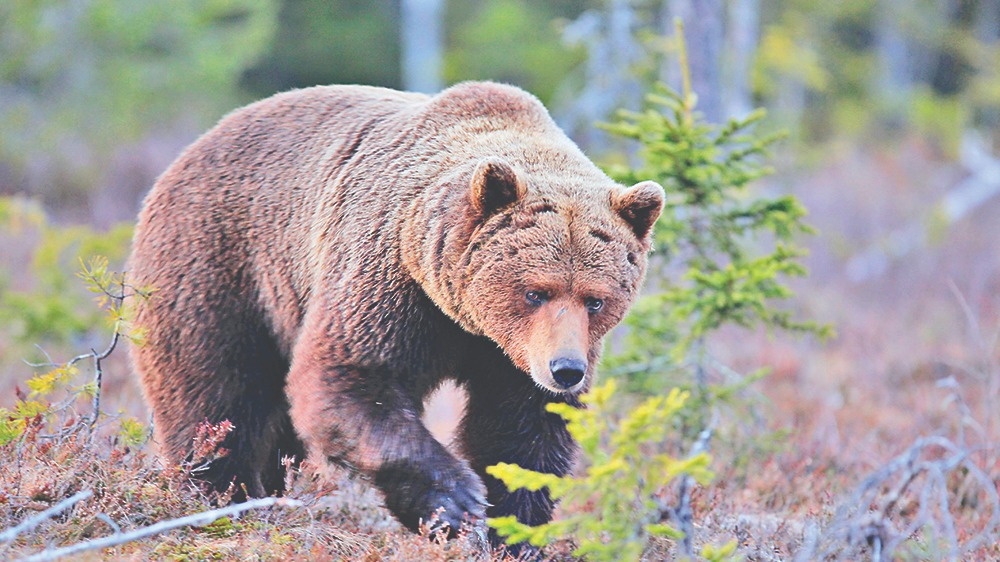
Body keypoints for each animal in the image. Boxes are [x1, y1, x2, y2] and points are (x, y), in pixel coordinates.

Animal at [127, 81, 664, 548]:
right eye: (535, 292)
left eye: (596, 299)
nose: (566, 370)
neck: (462, 318)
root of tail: (189, 151)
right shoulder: (389, 280)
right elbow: (348, 379)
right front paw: (456, 502)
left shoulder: (509, 356)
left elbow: (519, 433)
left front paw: (514, 530)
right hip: (218, 266)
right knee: (216, 395)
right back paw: (221, 497)